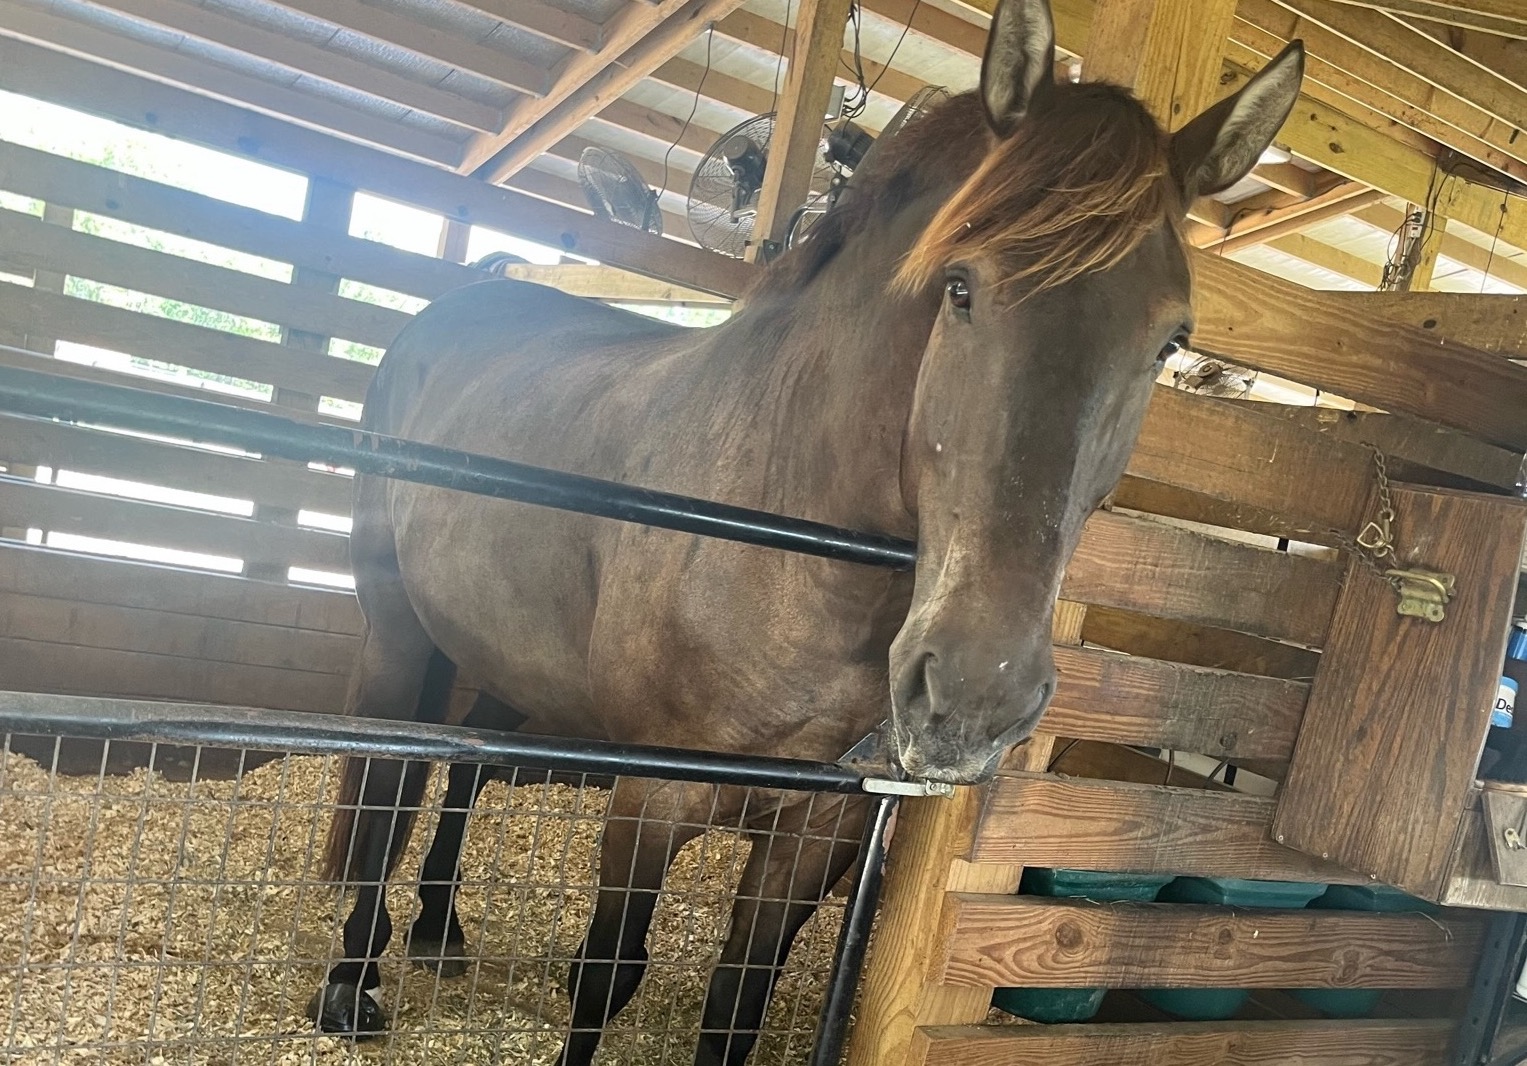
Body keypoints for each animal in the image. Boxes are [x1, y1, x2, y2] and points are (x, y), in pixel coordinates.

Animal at [306, 0, 1301, 1056]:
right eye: (959, 286)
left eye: (1168, 339)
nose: (975, 696)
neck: (793, 553)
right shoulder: (652, 797)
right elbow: (605, 978)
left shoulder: (818, 835)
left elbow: (736, 1006)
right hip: (398, 633)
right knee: (385, 787)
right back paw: (351, 981)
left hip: (504, 654)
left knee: (463, 766)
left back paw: (438, 930)